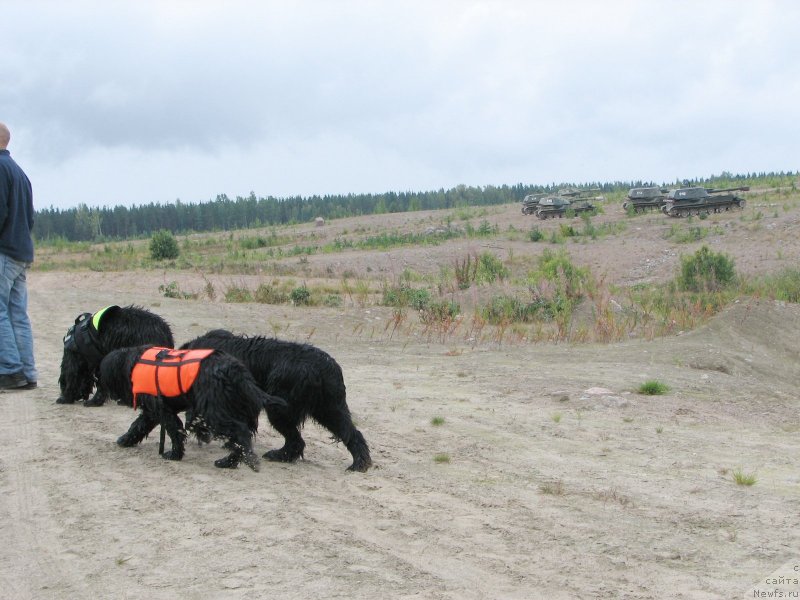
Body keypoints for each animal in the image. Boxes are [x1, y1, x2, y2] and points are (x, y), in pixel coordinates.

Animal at [98, 346, 288, 468]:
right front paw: (126, 439)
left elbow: (174, 432)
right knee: (241, 437)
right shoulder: (153, 411)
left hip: (215, 413)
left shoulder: (163, 410)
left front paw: (174, 454)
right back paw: (230, 460)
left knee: (241, 433)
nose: (113, 396)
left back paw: (233, 462)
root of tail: (234, 369)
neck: (134, 363)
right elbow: (138, 426)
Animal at [181, 328, 372, 474]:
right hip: (329, 409)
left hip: (281, 409)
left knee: (296, 439)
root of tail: (325, 367)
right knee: (351, 433)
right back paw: (360, 463)